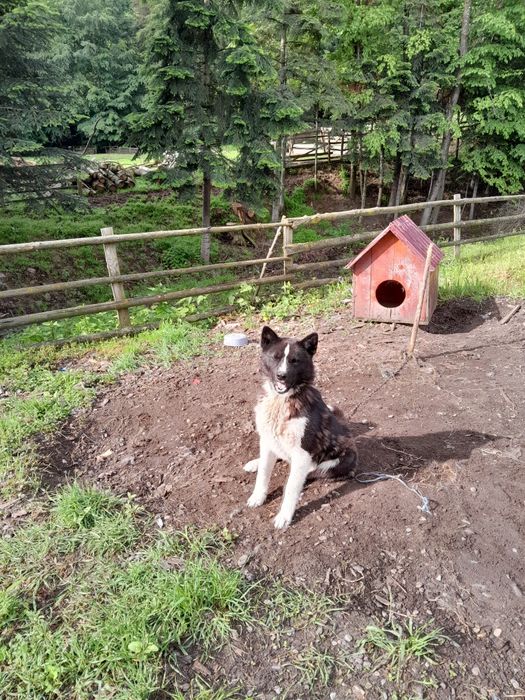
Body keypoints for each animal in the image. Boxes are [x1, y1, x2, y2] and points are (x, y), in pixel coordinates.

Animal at [244, 325, 358, 528]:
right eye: (275, 357)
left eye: (295, 361)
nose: (281, 376)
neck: (282, 400)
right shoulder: (267, 440)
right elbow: (263, 473)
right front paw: (258, 496)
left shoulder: (302, 453)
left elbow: (291, 487)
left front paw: (284, 516)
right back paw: (254, 463)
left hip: (337, 460)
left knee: (309, 473)